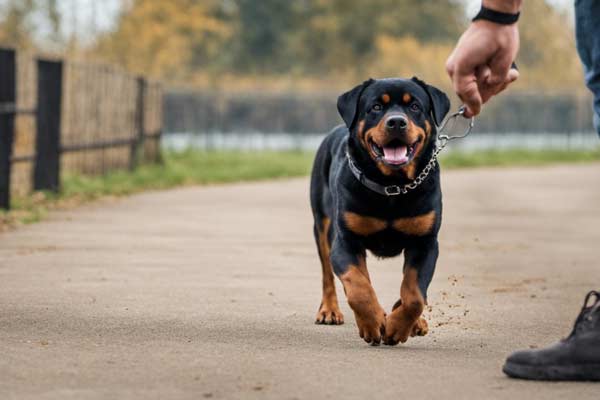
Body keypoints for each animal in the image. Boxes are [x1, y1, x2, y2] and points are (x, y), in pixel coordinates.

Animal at [312, 77, 448, 344]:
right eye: (376, 107)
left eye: (414, 106)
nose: (396, 122)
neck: (391, 187)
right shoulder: (346, 241)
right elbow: (358, 286)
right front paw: (373, 323)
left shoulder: (425, 242)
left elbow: (415, 293)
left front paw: (398, 326)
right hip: (321, 224)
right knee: (327, 274)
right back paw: (329, 310)